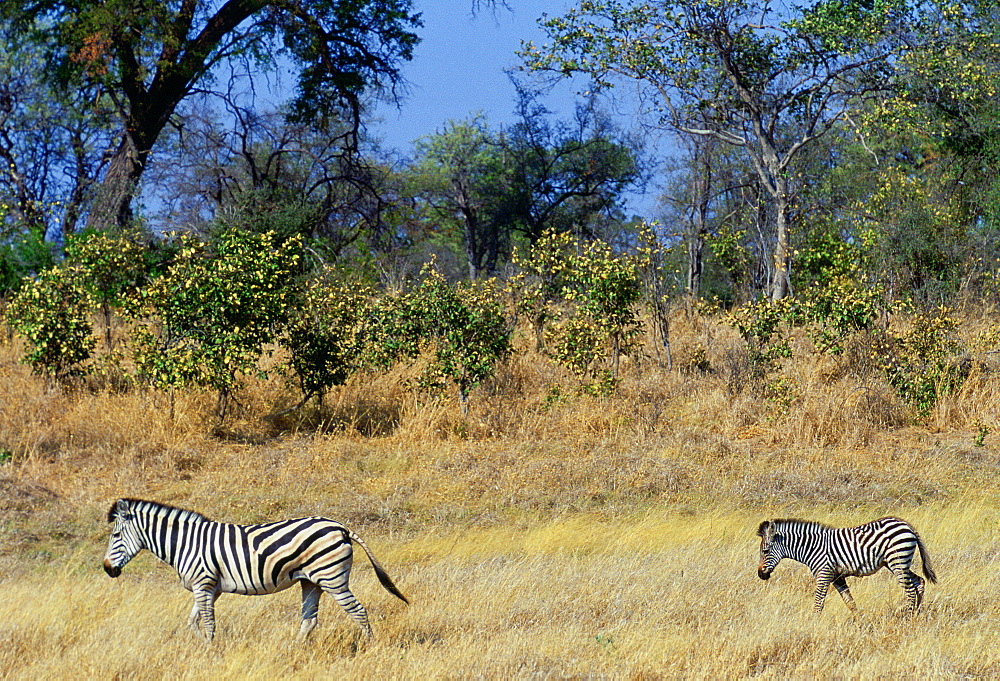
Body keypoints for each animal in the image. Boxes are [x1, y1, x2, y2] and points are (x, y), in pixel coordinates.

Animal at [103, 496, 408, 640]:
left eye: (115, 536)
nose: (107, 569)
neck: (185, 543)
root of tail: (341, 527)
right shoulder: (210, 589)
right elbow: (192, 622)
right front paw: (203, 646)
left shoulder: (204, 583)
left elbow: (208, 623)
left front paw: (211, 651)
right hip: (311, 581)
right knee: (309, 619)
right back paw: (293, 650)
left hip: (332, 578)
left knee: (358, 611)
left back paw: (369, 646)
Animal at [756, 516, 936, 616]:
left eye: (765, 551)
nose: (760, 575)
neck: (812, 547)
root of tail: (906, 524)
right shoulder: (837, 577)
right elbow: (850, 602)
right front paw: (860, 622)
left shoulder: (824, 574)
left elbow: (818, 602)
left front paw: (813, 624)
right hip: (895, 563)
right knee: (919, 581)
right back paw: (917, 612)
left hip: (897, 561)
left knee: (909, 589)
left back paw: (906, 616)